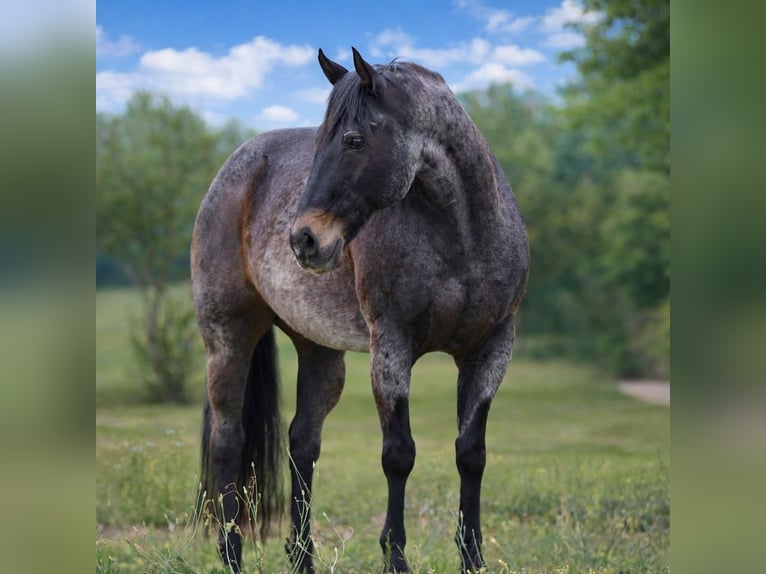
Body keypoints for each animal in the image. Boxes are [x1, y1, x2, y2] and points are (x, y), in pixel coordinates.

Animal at [192, 47, 529, 574]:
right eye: (319, 144)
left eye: (353, 140)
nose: (304, 239)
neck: (463, 237)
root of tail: (234, 170)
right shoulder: (390, 346)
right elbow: (399, 454)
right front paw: (395, 558)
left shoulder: (492, 347)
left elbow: (471, 453)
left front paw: (472, 558)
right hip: (227, 338)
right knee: (228, 440)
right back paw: (232, 555)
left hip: (319, 352)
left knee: (302, 443)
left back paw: (302, 557)